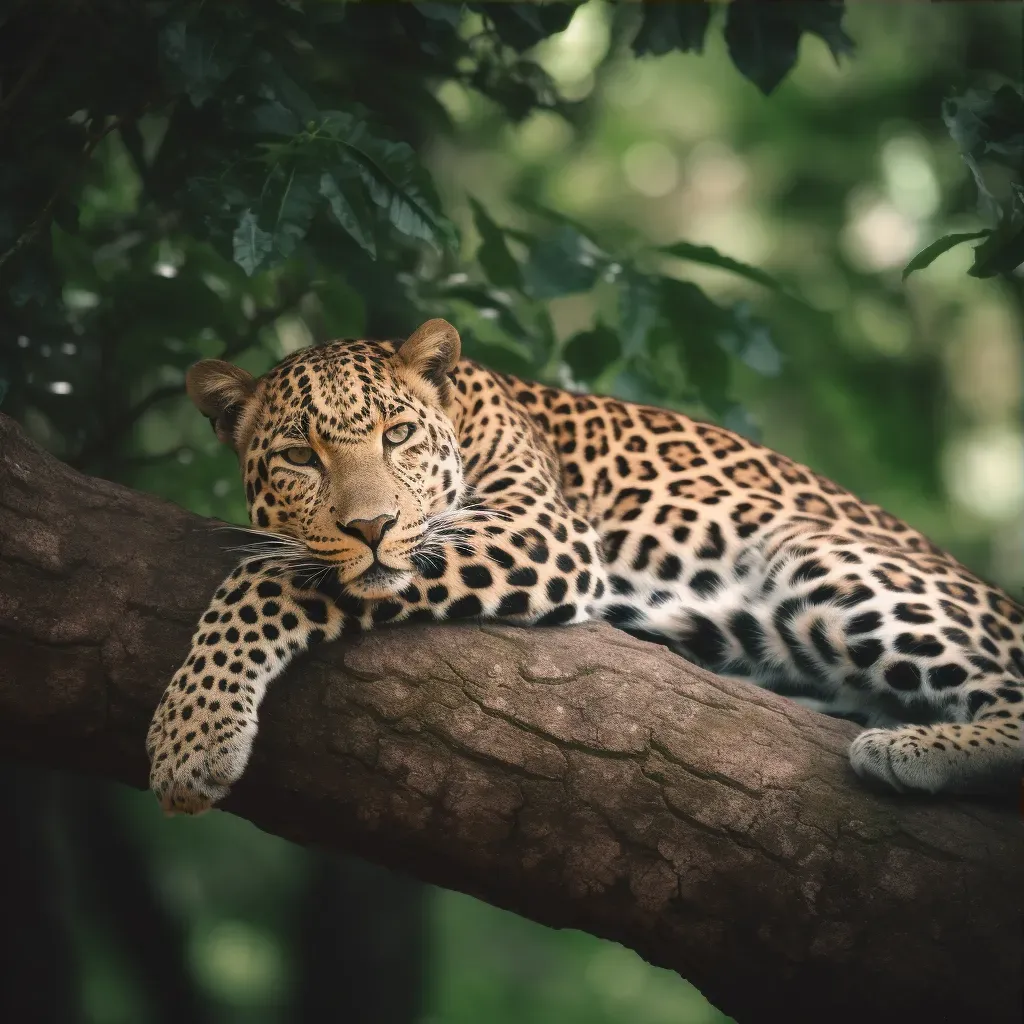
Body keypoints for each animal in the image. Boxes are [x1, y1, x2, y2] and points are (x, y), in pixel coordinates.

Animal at [146, 315, 1024, 811]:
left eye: (397, 436)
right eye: (299, 456)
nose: (371, 526)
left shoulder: (543, 531)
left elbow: (265, 577)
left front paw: (190, 738)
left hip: (821, 554)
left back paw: (906, 750)